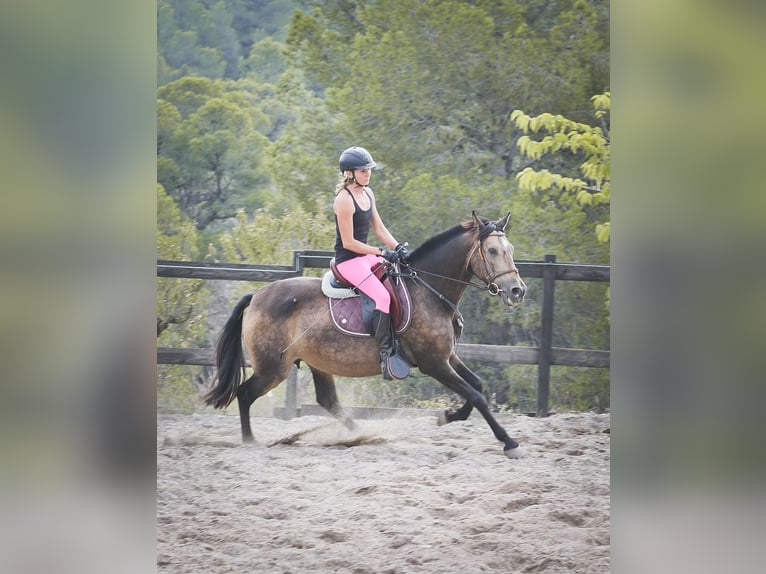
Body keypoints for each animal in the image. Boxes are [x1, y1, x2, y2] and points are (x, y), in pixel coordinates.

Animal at [204, 214, 528, 462]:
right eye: (493, 251)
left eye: (510, 248)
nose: (517, 291)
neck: (428, 290)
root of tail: (258, 294)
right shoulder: (434, 364)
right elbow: (476, 396)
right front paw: (509, 443)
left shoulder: (447, 356)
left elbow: (477, 386)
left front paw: (448, 415)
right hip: (273, 368)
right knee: (245, 394)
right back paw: (250, 442)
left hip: (316, 361)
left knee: (328, 401)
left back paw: (358, 434)